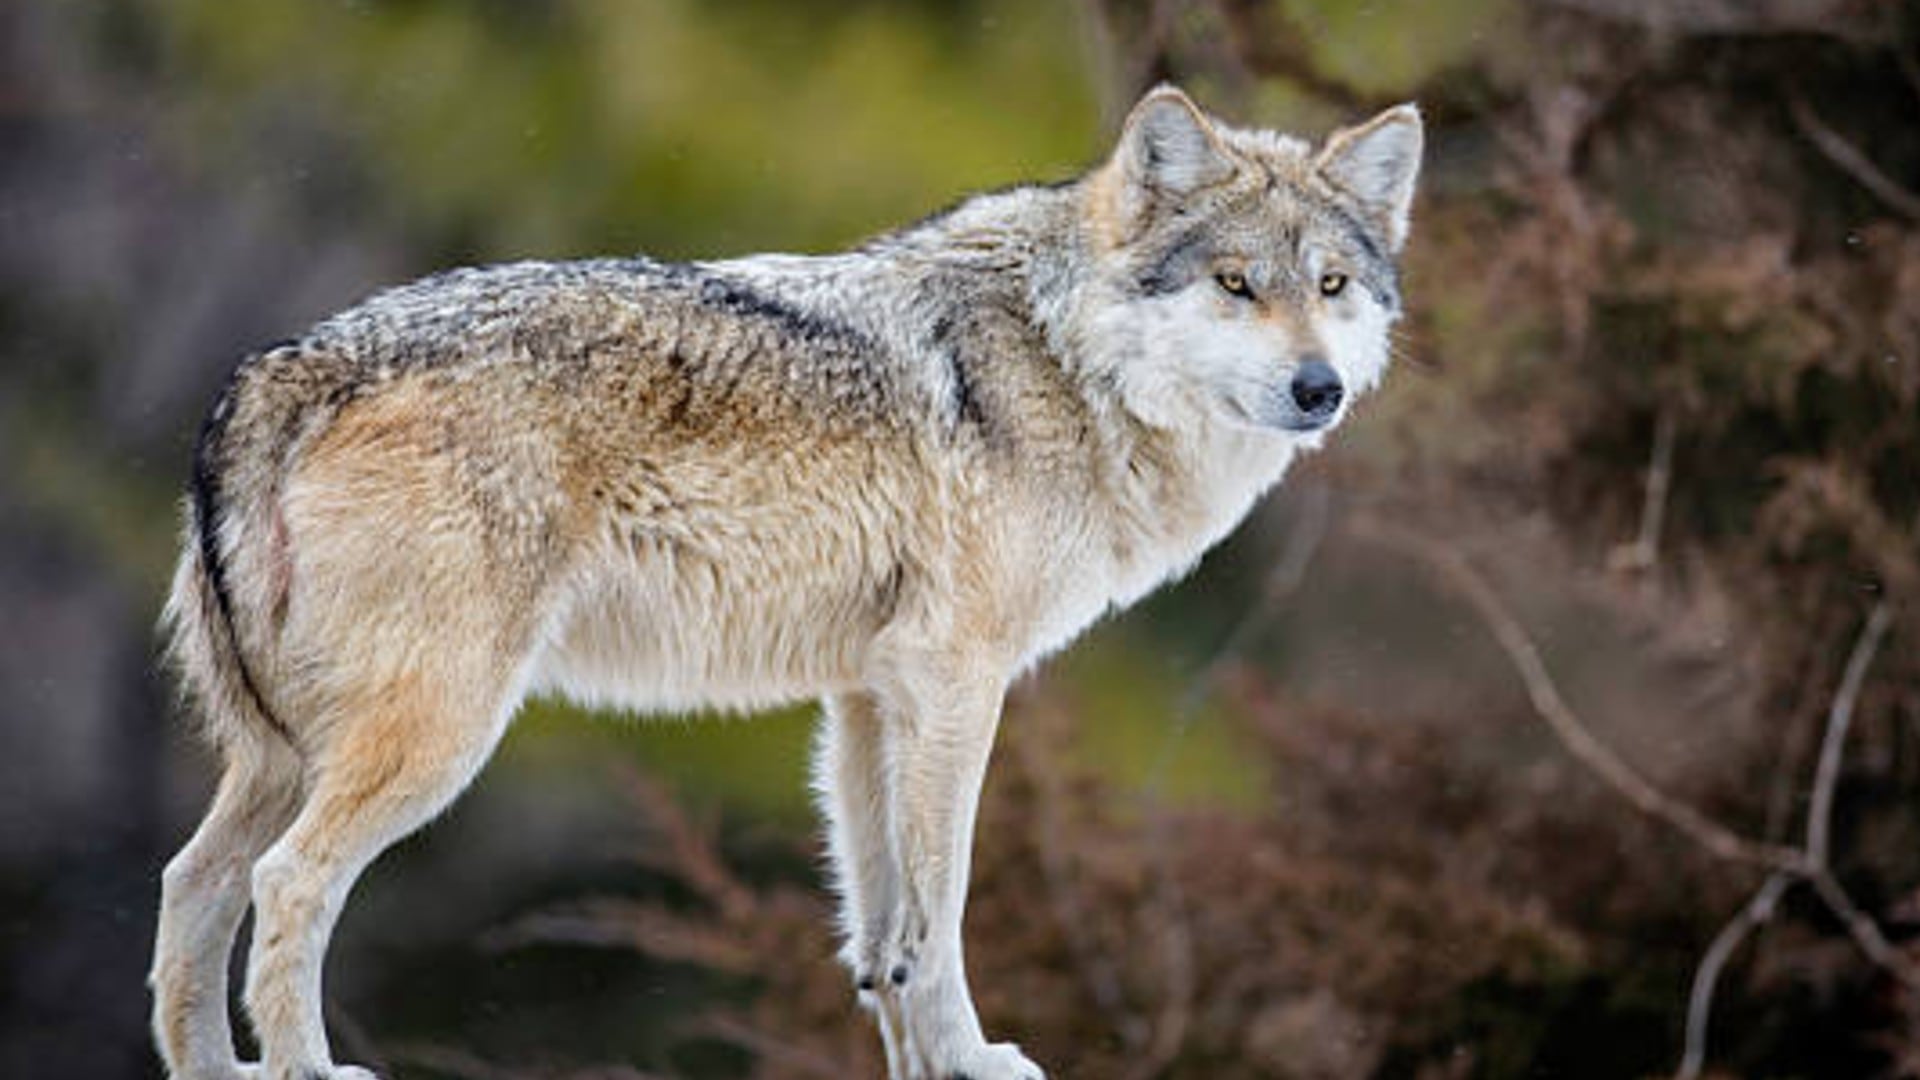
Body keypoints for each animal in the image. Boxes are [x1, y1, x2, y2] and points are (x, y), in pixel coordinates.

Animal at [148, 85, 1420, 1080]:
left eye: (1332, 285)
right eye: (1236, 284)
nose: (1318, 389)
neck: (1066, 360)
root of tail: (279, 367)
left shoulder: (866, 697)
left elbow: (882, 935)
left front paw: (922, 1065)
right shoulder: (954, 682)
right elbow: (942, 908)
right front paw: (973, 1058)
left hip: (284, 753)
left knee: (193, 883)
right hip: (435, 736)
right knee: (288, 883)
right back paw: (307, 1070)